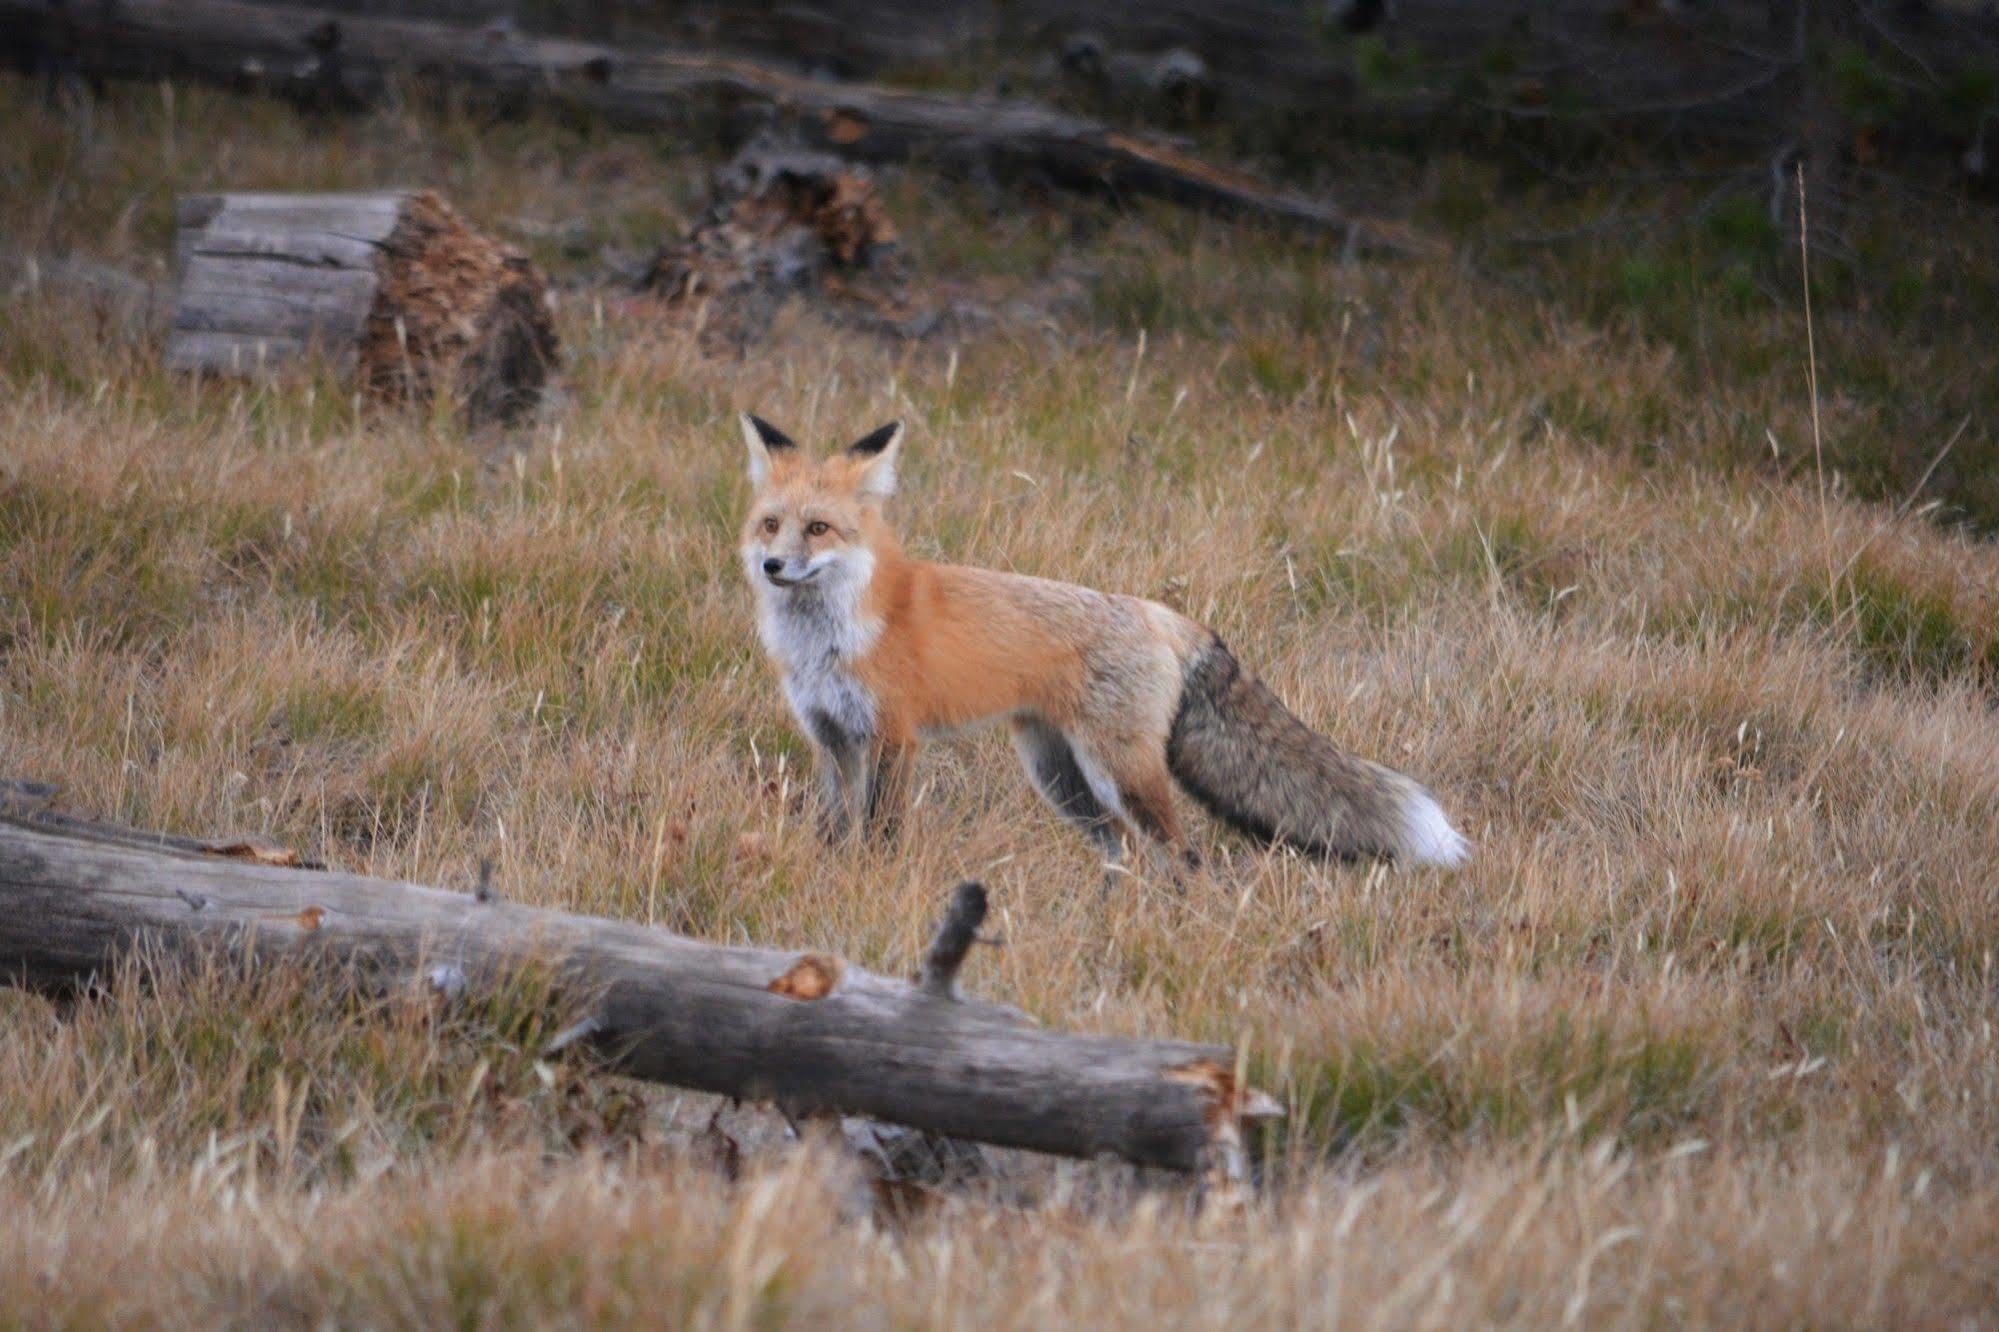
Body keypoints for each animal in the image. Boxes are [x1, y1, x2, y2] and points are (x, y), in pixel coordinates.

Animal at [735, 416, 1471, 872]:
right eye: (771, 524)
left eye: (819, 529)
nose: (772, 566)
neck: (832, 637)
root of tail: (1161, 613)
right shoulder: (831, 738)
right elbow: (833, 831)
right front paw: (830, 877)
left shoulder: (893, 737)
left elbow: (881, 835)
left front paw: (876, 881)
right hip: (1061, 777)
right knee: (1123, 852)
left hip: (1117, 772)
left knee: (1184, 857)